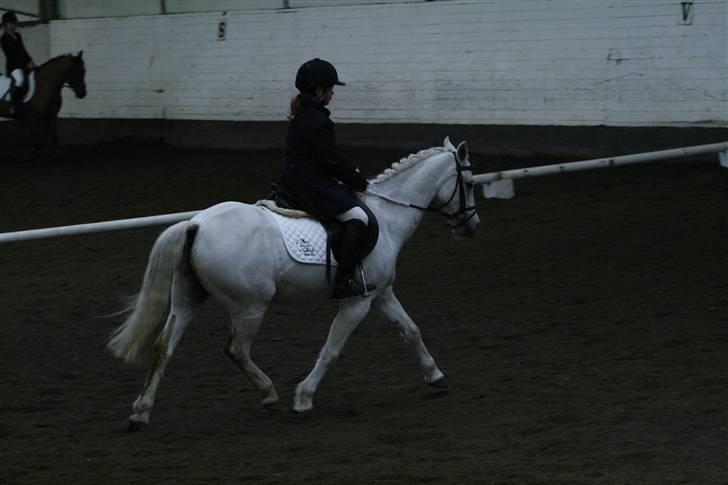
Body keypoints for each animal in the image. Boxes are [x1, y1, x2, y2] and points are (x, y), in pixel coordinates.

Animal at [107, 137, 481, 430]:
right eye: (470, 182)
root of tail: (196, 224)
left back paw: (140, 412)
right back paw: (269, 393)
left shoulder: (380, 293)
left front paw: (435, 375)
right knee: (236, 349)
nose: (471, 226)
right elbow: (331, 349)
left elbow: (410, 329)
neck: (387, 218)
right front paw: (303, 398)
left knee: (164, 346)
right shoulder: (357, 301)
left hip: (188, 298)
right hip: (249, 306)